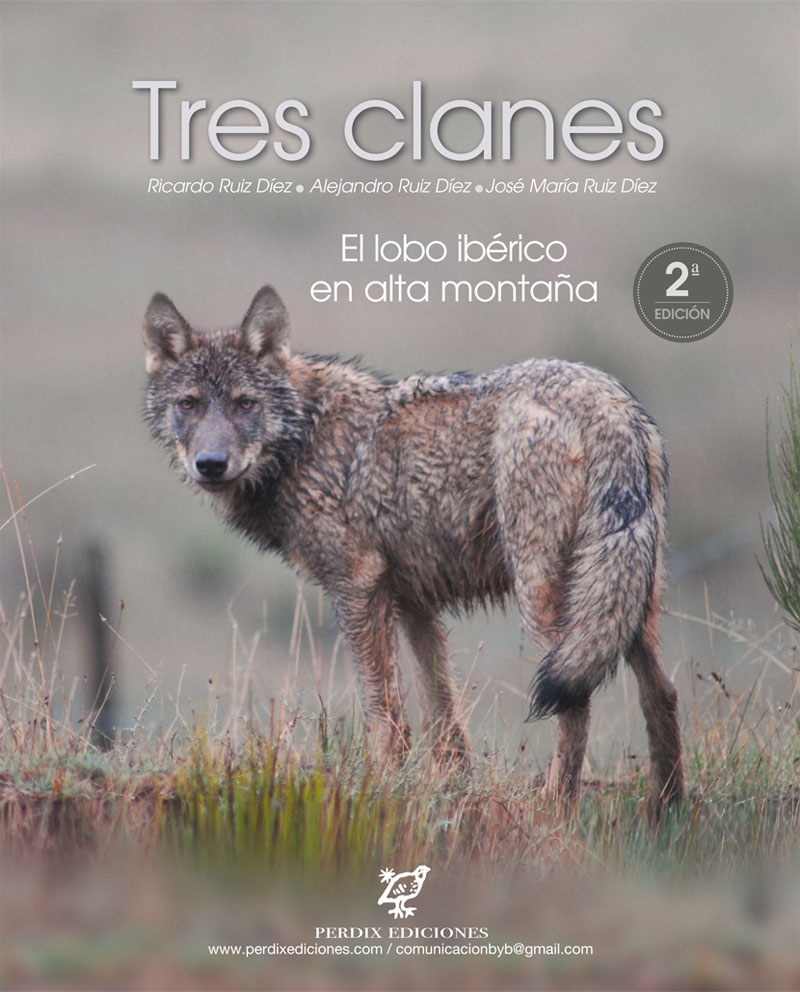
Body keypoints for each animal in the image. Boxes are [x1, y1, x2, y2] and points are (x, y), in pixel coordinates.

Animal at [143, 285, 685, 815]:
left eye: (244, 404)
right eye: (189, 404)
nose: (210, 463)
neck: (305, 441)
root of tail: (607, 402)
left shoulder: (358, 586)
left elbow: (385, 708)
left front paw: (383, 782)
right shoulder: (414, 602)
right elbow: (443, 711)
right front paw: (454, 788)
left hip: (547, 602)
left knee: (578, 700)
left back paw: (556, 804)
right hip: (626, 603)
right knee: (662, 691)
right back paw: (667, 807)